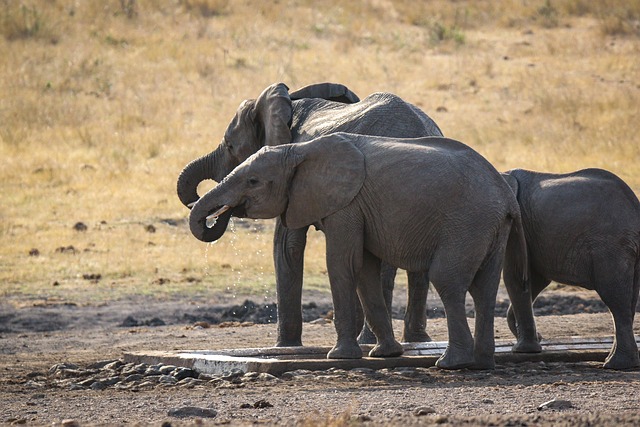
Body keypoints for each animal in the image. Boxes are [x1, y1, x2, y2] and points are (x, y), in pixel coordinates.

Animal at [176, 82, 444, 347]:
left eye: (231, 146)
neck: (289, 101)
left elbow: (286, 245)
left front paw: (285, 347)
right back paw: (416, 341)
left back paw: (372, 341)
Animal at [188, 133, 529, 369]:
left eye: (253, 181)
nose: (218, 215)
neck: (299, 150)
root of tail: (505, 195)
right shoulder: (356, 208)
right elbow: (364, 270)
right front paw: (384, 354)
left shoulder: (345, 205)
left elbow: (342, 263)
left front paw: (339, 357)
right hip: (490, 226)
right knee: (484, 288)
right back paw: (482, 363)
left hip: (467, 223)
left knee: (446, 279)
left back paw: (450, 363)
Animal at [502, 168, 640, 370]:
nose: (541, 336)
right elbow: (534, 279)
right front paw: (533, 343)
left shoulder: (516, 225)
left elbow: (517, 277)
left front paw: (522, 350)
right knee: (629, 300)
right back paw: (620, 362)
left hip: (610, 248)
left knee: (615, 298)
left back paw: (615, 364)